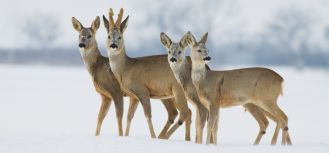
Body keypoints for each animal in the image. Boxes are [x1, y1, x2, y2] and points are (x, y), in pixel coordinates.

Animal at [160, 32, 290, 145]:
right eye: (199, 50)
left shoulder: (213, 100)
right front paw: (212, 145)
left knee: (282, 117)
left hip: (267, 99)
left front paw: (205, 145)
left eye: (208, 50)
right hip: (260, 102)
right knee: (274, 120)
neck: (204, 81)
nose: (208, 57)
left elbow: (207, 125)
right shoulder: (213, 104)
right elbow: (214, 126)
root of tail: (281, 80)